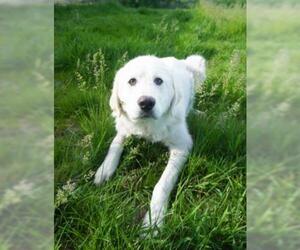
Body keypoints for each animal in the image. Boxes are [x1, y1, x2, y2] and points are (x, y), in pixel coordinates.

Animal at [94, 54, 206, 230]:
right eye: (132, 81)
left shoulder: (182, 146)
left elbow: (163, 184)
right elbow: (115, 145)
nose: (146, 102)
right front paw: (105, 169)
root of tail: (180, 61)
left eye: (159, 81)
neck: (146, 126)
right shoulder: (124, 128)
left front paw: (154, 220)